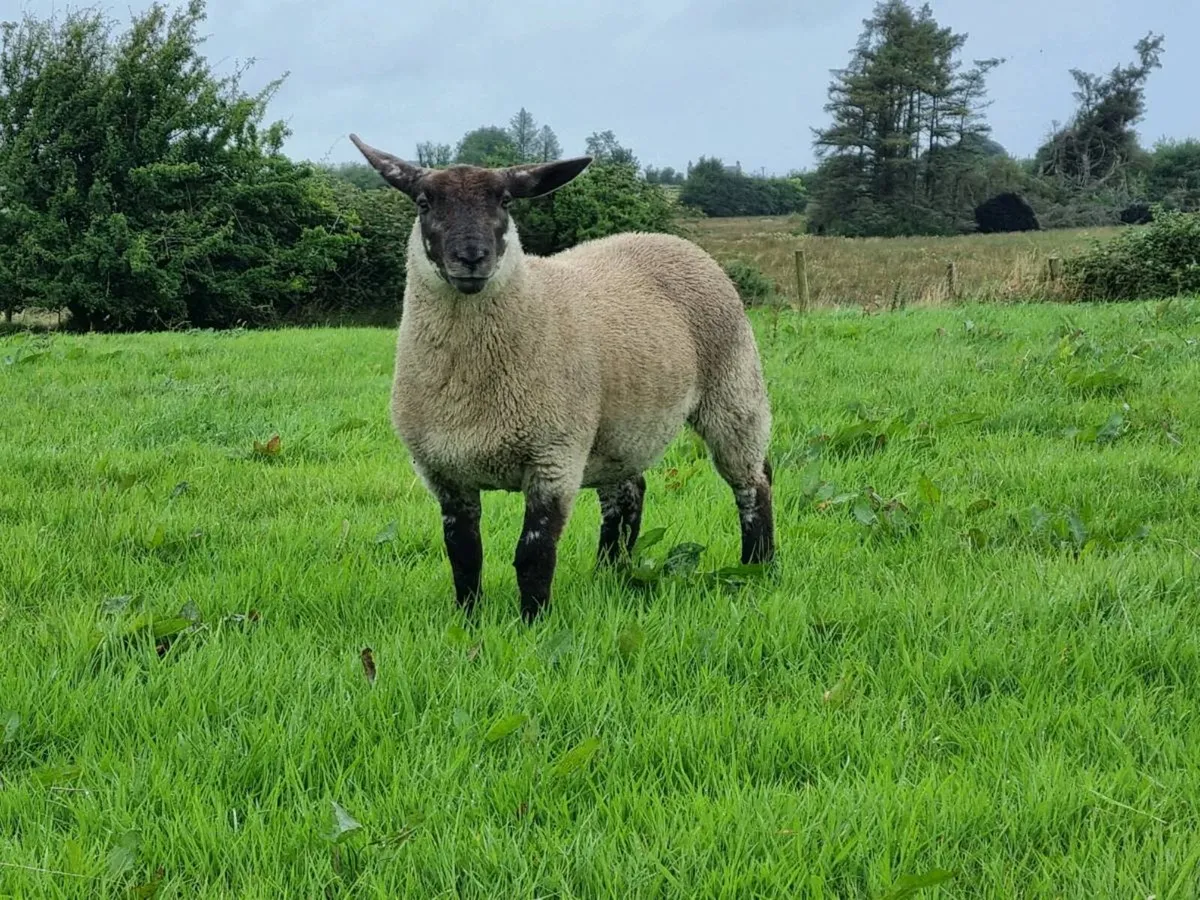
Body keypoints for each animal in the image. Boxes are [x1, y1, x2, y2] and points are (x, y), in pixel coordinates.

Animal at [350, 133, 776, 622]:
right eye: (424, 202)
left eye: (505, 201)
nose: (472, 258)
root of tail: (668, 239)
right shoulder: (443, 470)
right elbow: (463, 553)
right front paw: (469, 617)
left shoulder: (553, 456)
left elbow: (533, 554)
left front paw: (533, 621)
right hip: (618, 426)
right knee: (628, 492)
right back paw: (610, 570)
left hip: (733, 389)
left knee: (753, 481)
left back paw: (758, 564)